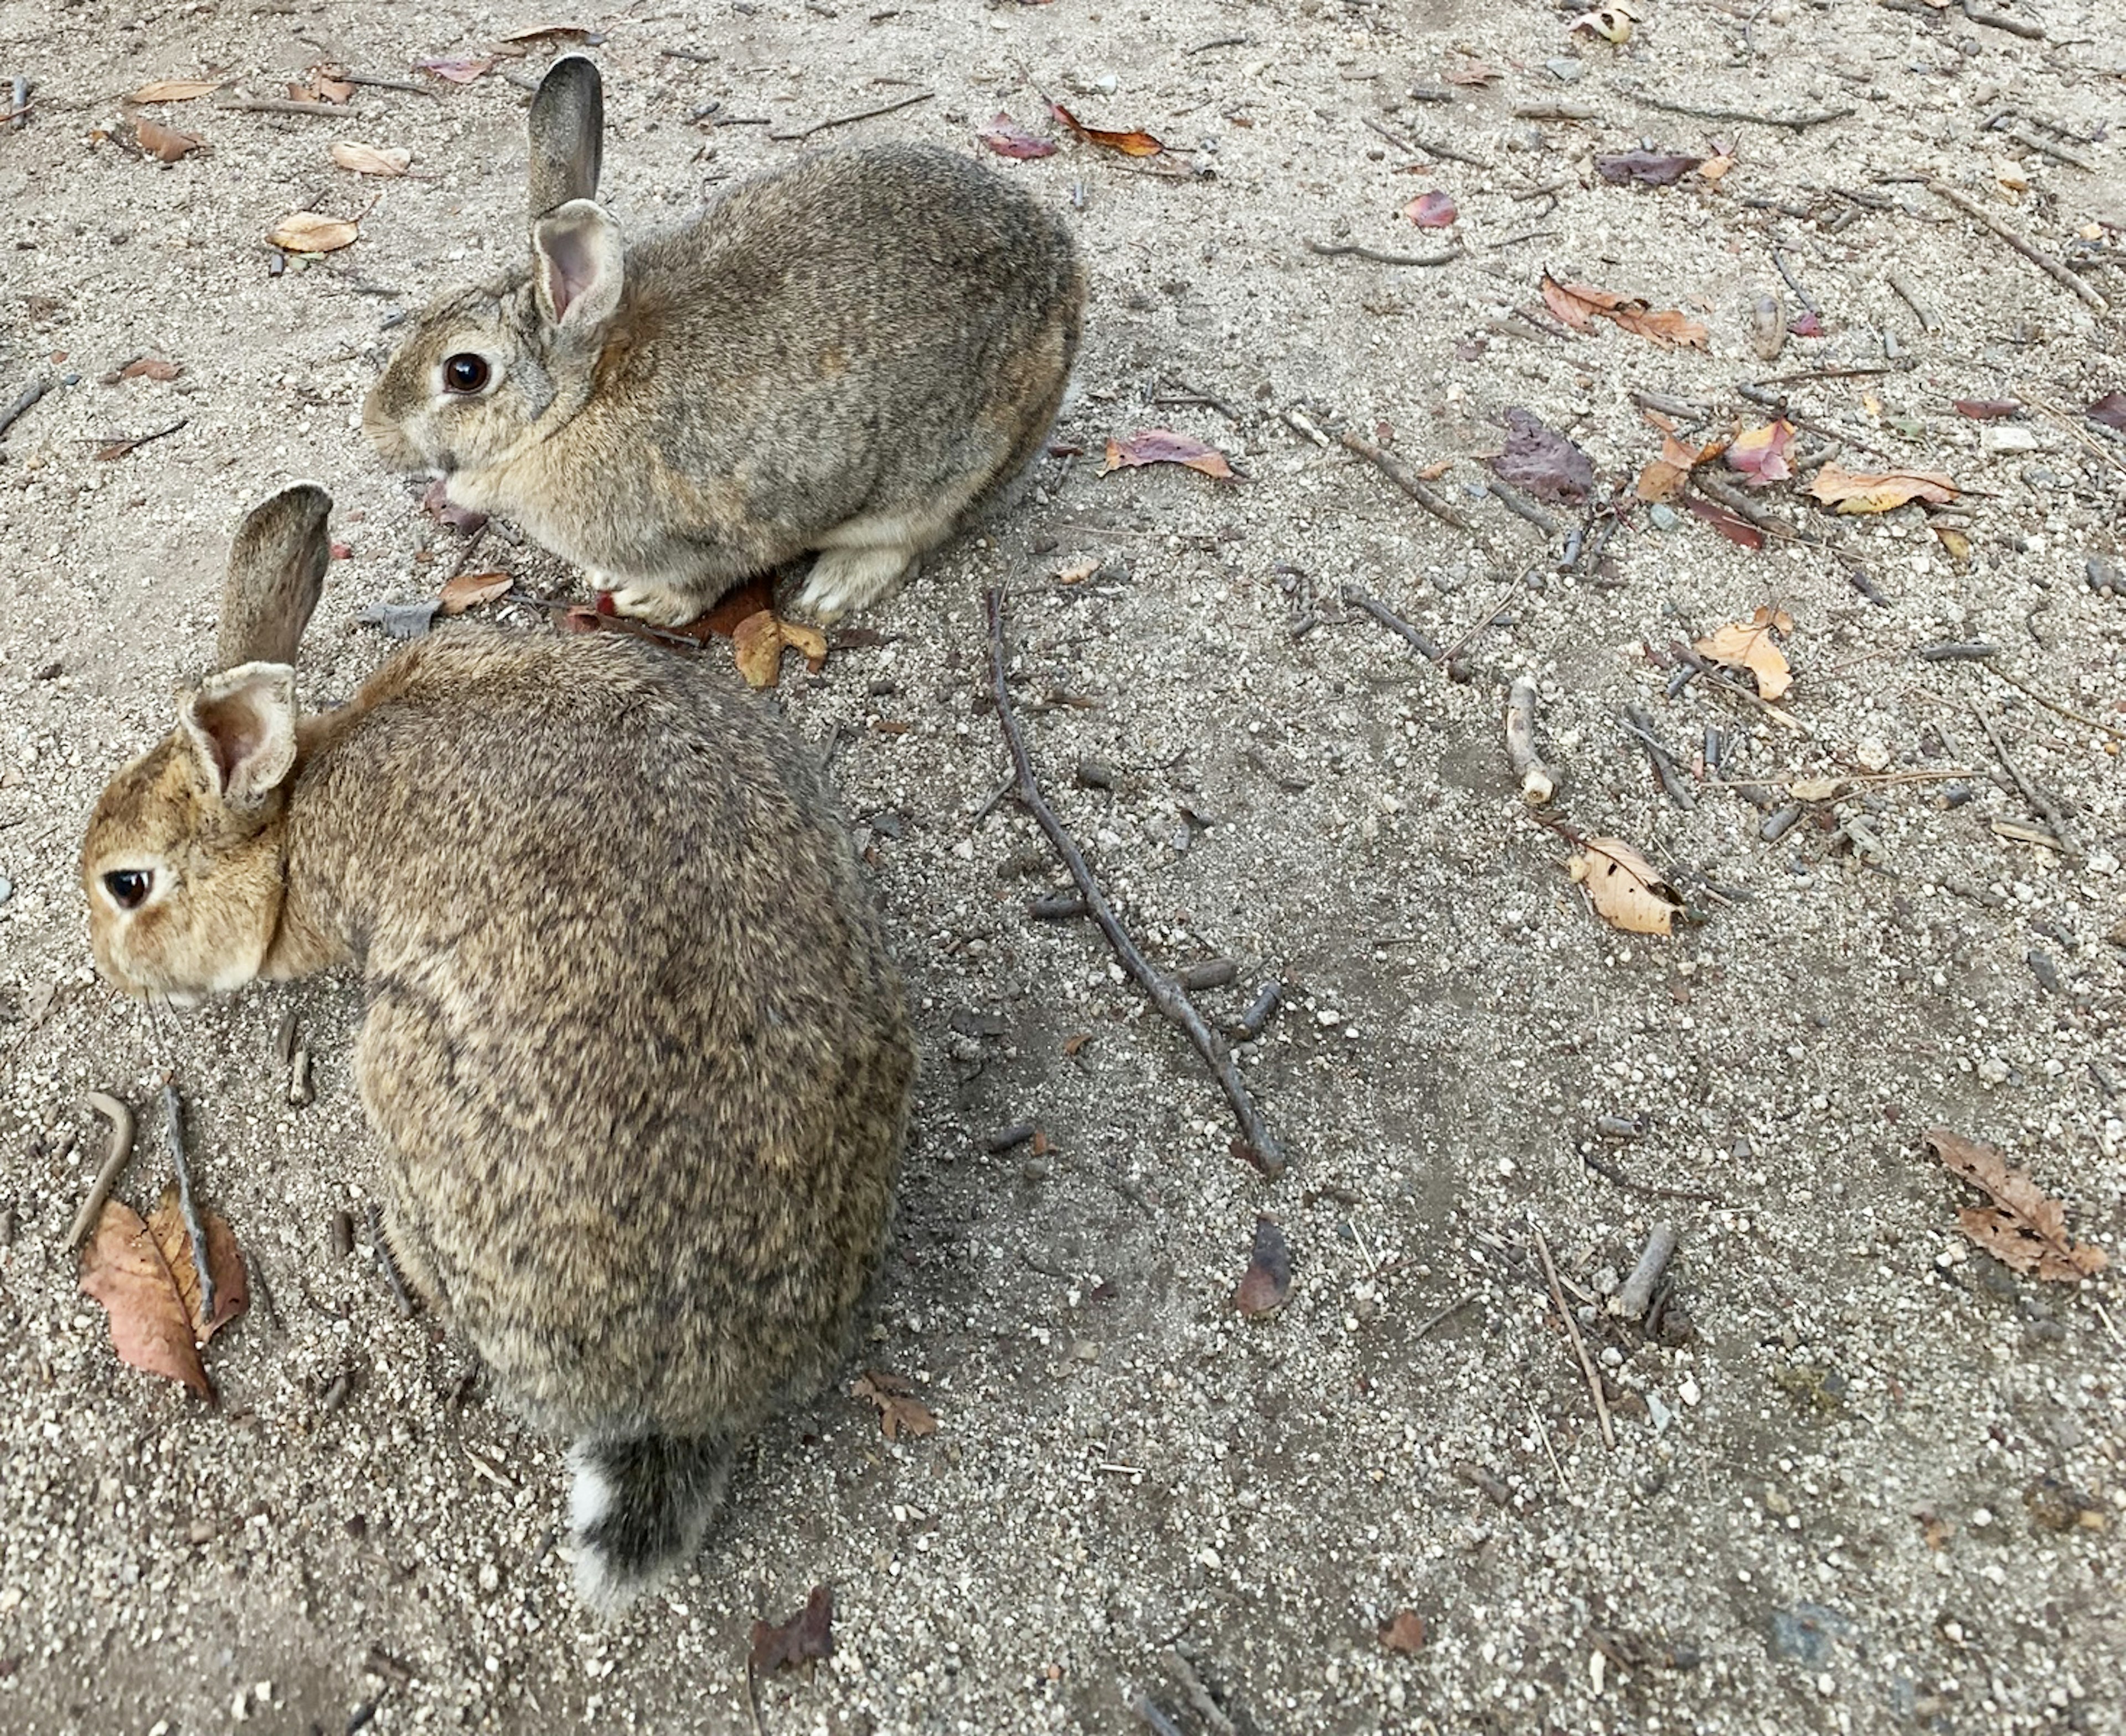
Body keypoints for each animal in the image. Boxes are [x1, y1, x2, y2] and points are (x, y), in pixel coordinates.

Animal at [365, 58, 1088, 633]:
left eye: (465, 372)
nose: (376, 431)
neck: (578, 403)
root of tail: (1065, 270)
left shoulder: (713, 536)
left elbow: (704, 582)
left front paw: (647, 603)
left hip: (949, 474)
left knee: (916, 534)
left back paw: (833, 588)